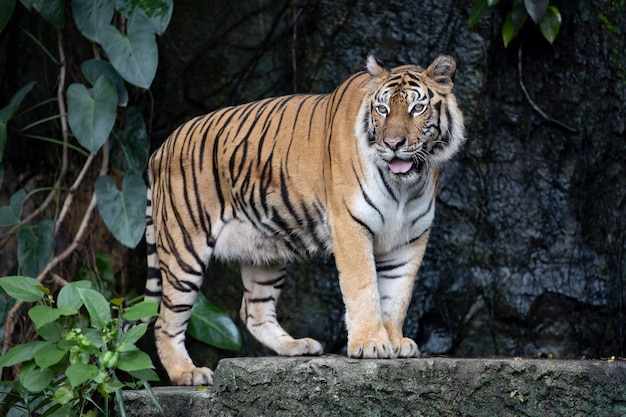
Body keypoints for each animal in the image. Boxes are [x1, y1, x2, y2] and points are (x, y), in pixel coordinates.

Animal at [143, 53, 464, 386]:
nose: (393, 144)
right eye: (382, 109)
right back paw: (188, 372)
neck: (404, 187)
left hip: (264, 251)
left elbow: (398, 295)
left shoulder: (411, 237)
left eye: (417, 109)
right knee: (165, 320)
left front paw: (396, 341)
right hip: (184, 249)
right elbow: (364, 287)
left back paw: (296, 346)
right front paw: (371, 343)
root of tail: (160, 148)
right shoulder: (350, 226)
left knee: (253, 312)